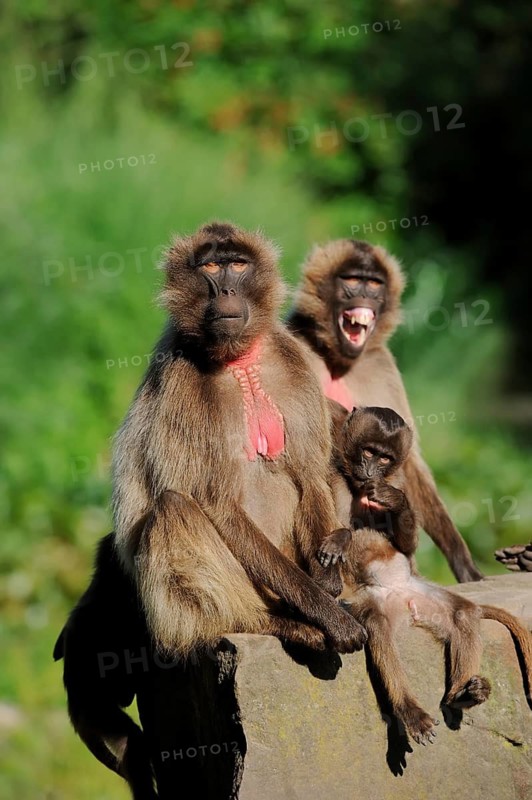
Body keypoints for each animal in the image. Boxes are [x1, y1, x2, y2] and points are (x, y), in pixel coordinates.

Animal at [286, 238, 483, 583]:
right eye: (353, 280)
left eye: (374, 284)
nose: (365, 296)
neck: (339, 360)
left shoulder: (379, 362)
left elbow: (411, 463)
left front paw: (462, 562)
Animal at [318, 406, 532, 745]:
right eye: (369, 451)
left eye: (385, 459)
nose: (370, 472)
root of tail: (403, 599)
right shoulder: (334, 477)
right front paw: (340, 538)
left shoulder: (398, 478)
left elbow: (406, 542)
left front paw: (393, 501)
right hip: (377, 601)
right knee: (378, 629)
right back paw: (410, 709)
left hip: (421, 594)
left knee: (463, 613)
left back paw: (464, 694)